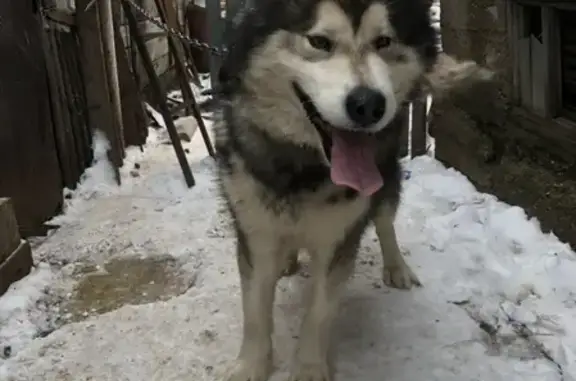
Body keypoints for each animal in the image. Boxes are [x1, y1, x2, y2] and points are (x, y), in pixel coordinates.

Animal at [214, 0, 492, 380]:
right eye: (319, 42)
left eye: (383, 41)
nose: (368, 105)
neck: (305, 169)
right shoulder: (255, 230)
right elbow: (255, 309)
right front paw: (251, 366)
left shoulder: (339, 237)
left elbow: (319, 311)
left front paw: (309, 368)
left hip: (386, 178)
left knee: (385, 220)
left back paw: (397, 267)